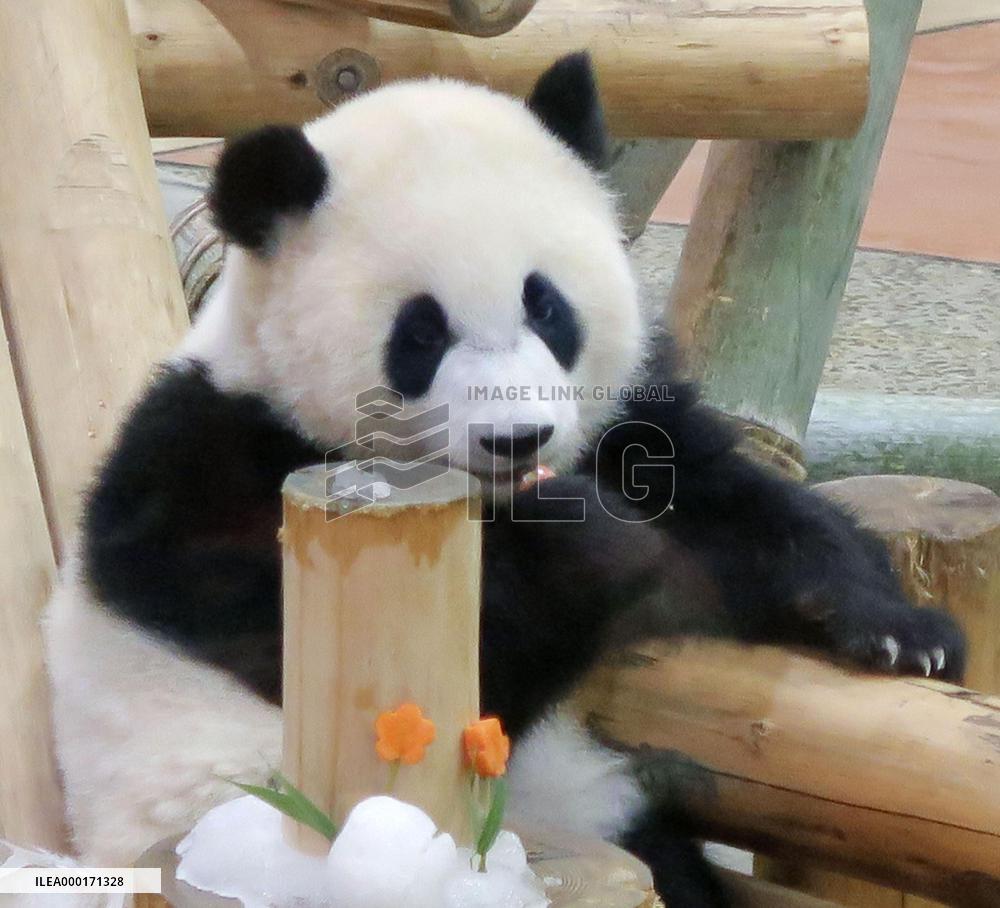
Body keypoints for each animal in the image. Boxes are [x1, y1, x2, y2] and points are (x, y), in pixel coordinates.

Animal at [44, 53, 965, 906]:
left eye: (545, 305)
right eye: (420, 333)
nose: (517, 437)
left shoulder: (621, 428)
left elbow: (732, 513)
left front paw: (901, 632)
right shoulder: (211, 482)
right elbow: (403, 664)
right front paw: (589, 536)